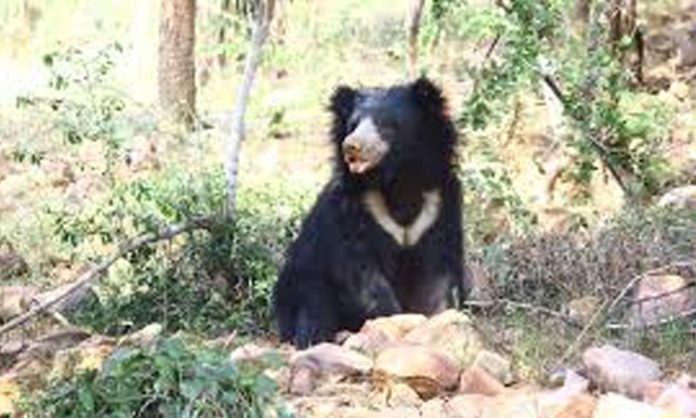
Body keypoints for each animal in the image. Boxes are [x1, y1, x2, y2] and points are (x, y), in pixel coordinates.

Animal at [270, 76, 462, 348]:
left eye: (386, 125)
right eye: (353, 125)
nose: (351, 146)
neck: (396, 181)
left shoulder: (438, 209)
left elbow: (438, 273)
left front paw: (439, 320)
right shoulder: (352, 210)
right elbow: (362, 274)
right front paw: (392, 320)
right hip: (302, 280)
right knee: (314, 306)